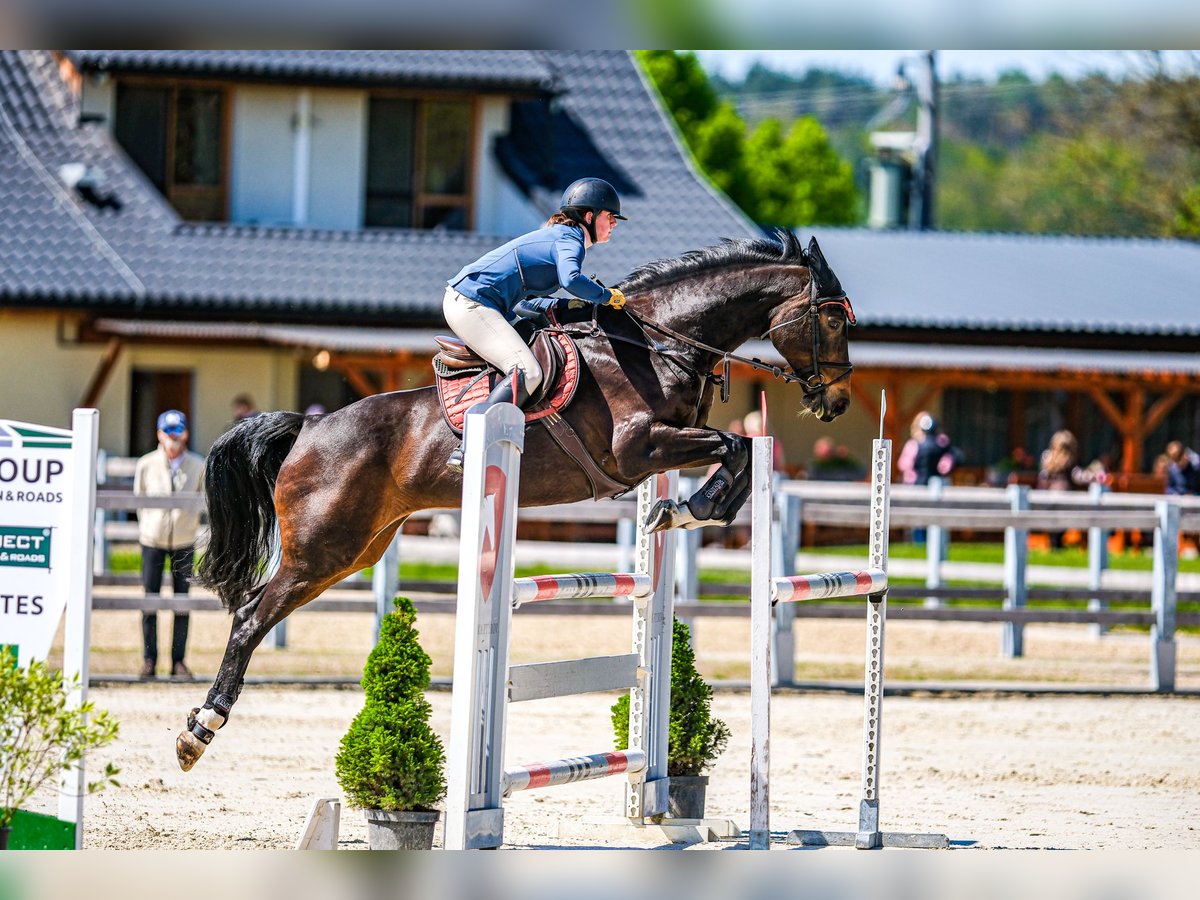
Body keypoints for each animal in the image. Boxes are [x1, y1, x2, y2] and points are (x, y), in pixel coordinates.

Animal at [176, 230, 856, 770]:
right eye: (831, 321)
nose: (838, 403)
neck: (657, 346)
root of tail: (308, 429)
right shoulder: (639, 448)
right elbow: (735, 445)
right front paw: (692, 509)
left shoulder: (666, 447)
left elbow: (737, 453)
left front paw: (682, 510)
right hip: (321, 549)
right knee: (249, 618)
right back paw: (199, 731)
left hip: (356, 550)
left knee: (262, 609)